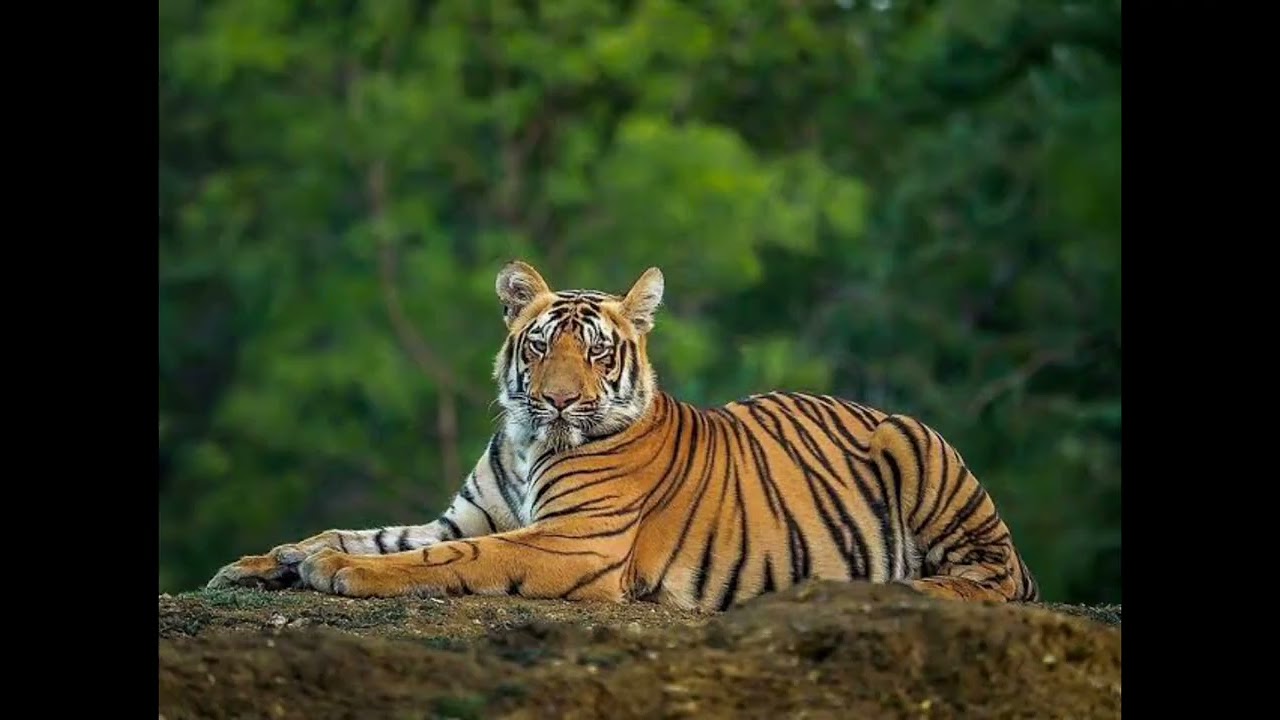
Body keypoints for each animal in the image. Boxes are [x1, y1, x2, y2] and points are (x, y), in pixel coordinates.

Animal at [207, 260, 1040, 609]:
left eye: (599, 353)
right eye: (541, 346)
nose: (557, 401)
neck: (527, 441)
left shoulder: (574, 541)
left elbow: (447, 558)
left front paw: (337, 572)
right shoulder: (464, 515)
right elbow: (366, 532)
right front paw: (271, 560)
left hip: (919, 451)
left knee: (995, 580)